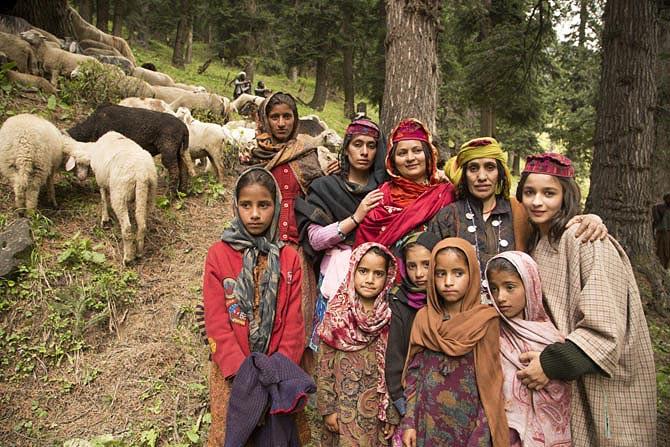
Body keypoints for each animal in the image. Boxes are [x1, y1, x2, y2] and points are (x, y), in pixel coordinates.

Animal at [64, 131, 159, 264]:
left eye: (79, 164)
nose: (81, 177)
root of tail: (141, 174)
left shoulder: (101, 180)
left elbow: (103, 198)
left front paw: (105, 218)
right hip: (149, 192)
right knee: (142, 223)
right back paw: (139, 252)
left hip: (119, 193)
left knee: (127, 228)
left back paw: (128, 258)